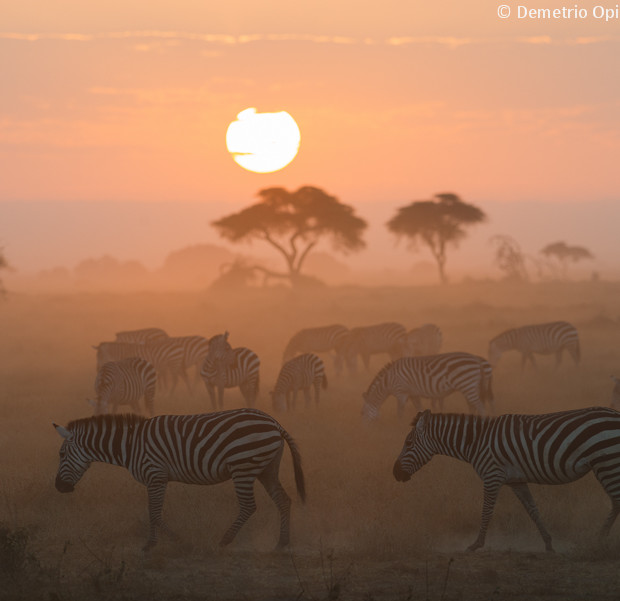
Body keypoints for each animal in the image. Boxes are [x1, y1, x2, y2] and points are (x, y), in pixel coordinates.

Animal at [53, 408, 306, 548]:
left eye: (61, 454)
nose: (58, 487)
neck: (131, 445)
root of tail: (274, 422)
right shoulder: (156, 478)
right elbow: (152, 512)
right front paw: (156, 542)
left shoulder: (155, 475)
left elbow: (154, 513)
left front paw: (167, 542)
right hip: (267, 469)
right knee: (283, 500)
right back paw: (282, 543)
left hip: (243, 467)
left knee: (248, 506)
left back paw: (225, 540)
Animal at [360, 350, 492, 420]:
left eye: (363, 413)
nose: (365, 431)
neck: (388, 381)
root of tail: (477, 360)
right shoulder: (413, 393)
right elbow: (419, 407)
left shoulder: (401, 392)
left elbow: (400, 410)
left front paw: (399, 424)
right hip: (471, 386)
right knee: (473, 405)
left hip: (467, 385)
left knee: (480, 406)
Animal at [392, 406, 620, 552]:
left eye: (409, 442)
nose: (395, 473)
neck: (476, 441)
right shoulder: (515, 481)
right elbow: (532, 510)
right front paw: (548, 543)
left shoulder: (492, 476)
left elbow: (486, 511)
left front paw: (476, 544)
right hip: (605, 464)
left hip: (606, 462)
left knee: (616, 501)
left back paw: (598, 540)